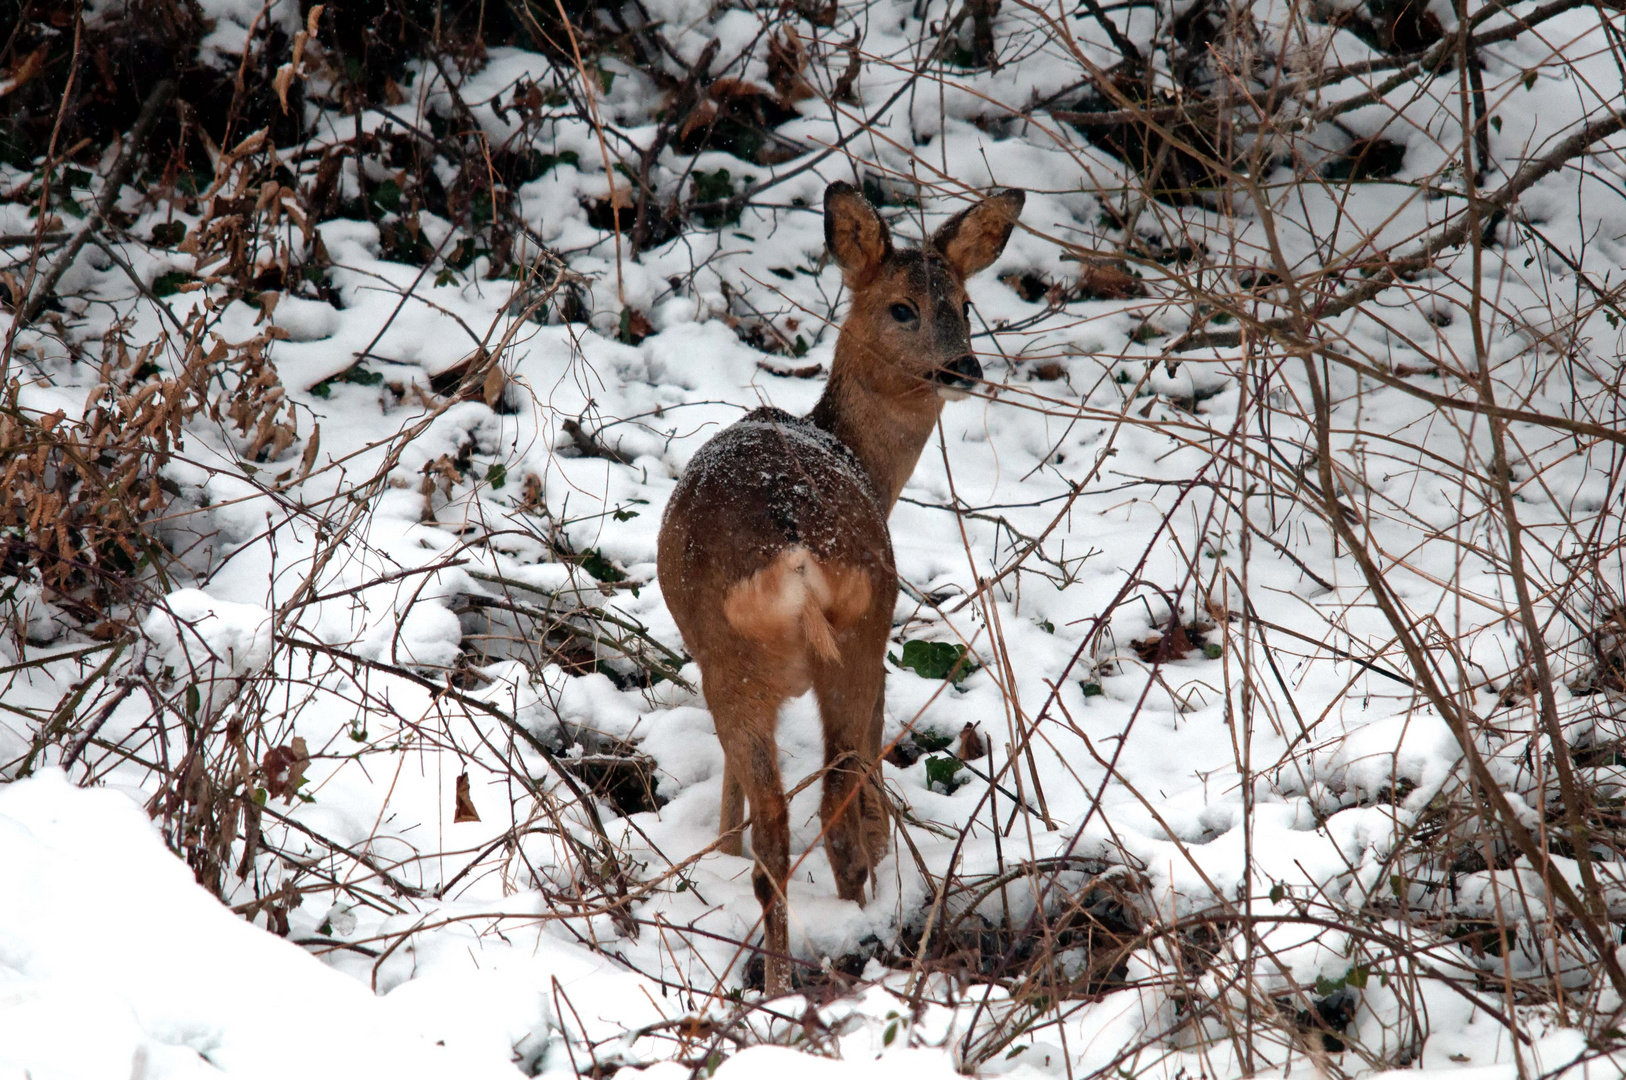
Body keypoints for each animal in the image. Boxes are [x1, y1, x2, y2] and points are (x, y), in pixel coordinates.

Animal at [653, 178, 1021, 995]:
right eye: (903, 307)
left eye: (966, 302)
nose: (965, 367)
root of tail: (794, 549)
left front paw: (719, 850)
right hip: (852, 634)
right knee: (825, 801)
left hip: (765, 652)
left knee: (803, 815)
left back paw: (793, 967)